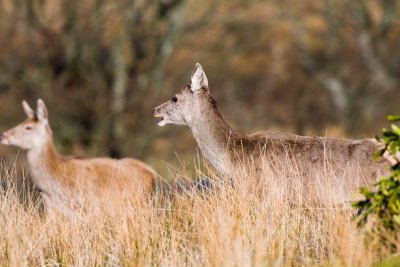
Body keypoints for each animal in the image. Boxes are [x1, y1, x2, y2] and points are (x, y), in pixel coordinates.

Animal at [0, 99, 155, 213]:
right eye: (22, 122)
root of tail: (152, 172)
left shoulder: (88, 205)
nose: (3, 135)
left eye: (28, 127)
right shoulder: (50, 208)